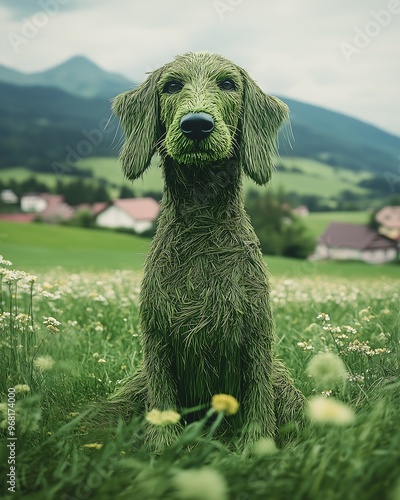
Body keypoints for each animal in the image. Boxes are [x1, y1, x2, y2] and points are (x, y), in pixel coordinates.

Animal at [106, 51, 304, 450]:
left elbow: (259, 400)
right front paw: (163, 445)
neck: (202, 231)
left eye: (227, 84)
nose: (197, 125)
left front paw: (257, 447)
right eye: (171, 85)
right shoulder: (157, 340)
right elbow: (162, 400)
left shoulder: (256, 340)